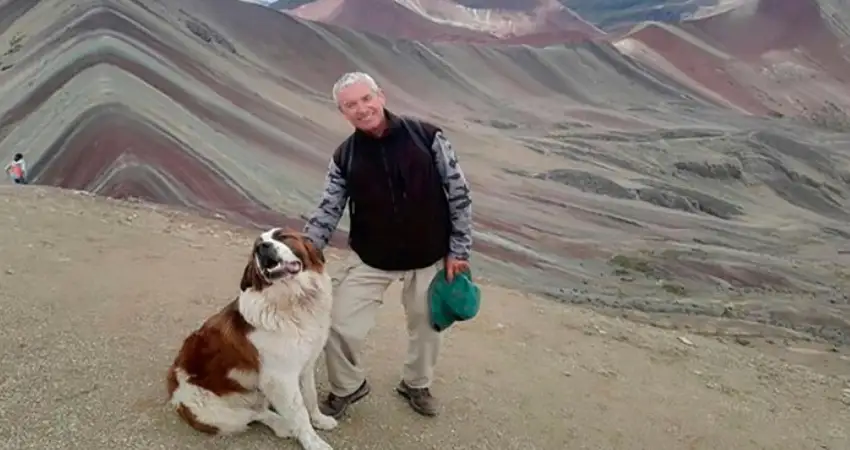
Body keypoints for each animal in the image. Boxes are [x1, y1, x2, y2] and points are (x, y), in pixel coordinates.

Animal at [164, 230, 336, 448]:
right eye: (256, 248)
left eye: (282, 236)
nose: (263, 248)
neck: (292, 301)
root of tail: (173, 391)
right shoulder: (280, 378)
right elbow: (299, 412)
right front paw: (313, 442)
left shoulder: (305, 365)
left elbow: (310, 397)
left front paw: (319, 419)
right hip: (216, 413)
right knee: (254, 415)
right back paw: (282, 425)